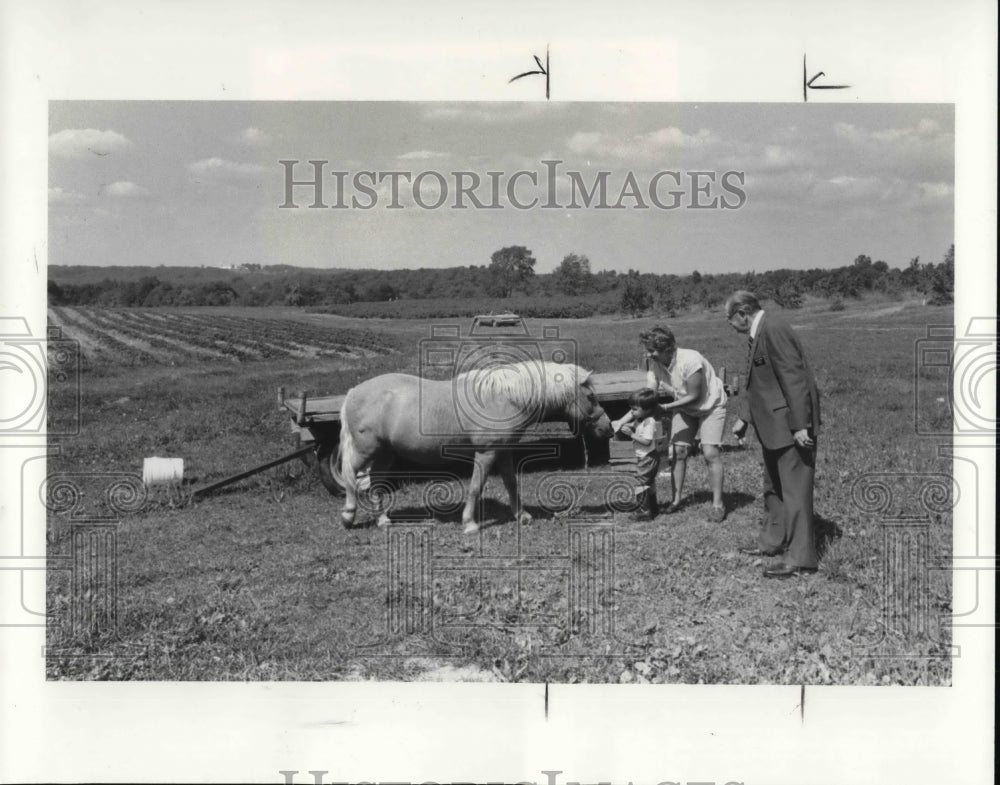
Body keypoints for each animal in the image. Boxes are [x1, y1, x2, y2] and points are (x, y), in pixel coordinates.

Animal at [336, 362, 608, 532]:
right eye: (591, 397)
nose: (608, 427)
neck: (504, 398)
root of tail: (352, 392)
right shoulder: (486, 453)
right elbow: (476, 486)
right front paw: (469, 524)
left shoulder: (504, 452)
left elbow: (511, 483)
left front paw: (522, 516)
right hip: (366, 451)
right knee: (350, 475)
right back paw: (348, 516)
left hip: (385, 453)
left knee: (375, 482)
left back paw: (383, 520)